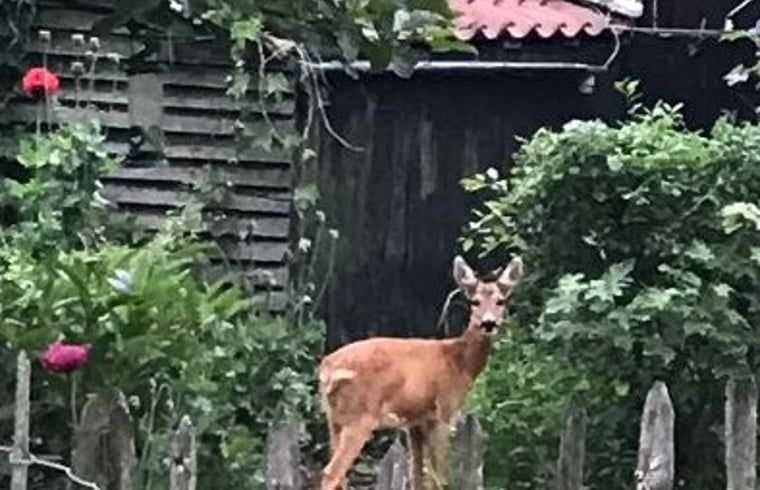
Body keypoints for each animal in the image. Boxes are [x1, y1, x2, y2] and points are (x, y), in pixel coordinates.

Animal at [318, 254, 524, 490]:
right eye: (475, 301)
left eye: (501, 301)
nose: (489, 323)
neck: (459, 362)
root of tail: (328, 369)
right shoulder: (444, 412)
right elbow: (438, 477)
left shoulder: (415, 422)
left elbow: (417, 474)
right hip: (359, 416)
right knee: (332, 472)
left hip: (334, 418)